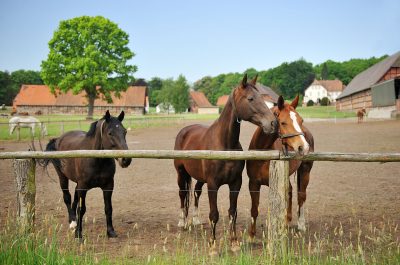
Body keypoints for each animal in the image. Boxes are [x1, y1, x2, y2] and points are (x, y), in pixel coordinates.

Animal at [45, 109, 132, 237]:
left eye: (124, 131)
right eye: (110, 133)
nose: (126, 160)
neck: (97, 159)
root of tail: (58, 139)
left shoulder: (108, 186)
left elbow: (108, 208)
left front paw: (110, 231)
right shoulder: (83, 187)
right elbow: (81, 209)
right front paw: (78, 233)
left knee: (75, 198)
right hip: (63, 177)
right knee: (67, 197)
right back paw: (72, 222)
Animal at [173, 73, 276, 252]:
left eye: (263, 98)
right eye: (250, 98)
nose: (272, 123)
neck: (225, 144)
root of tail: (184, 131)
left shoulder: (235, 183)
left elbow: (232, 212)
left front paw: (234, 243)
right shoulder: (213, 184)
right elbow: (214, 214)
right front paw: (213, 246)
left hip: (199, 178)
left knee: (196, 192)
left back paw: (196, 219)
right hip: (181, 173)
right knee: (182, 194)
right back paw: (183, 222)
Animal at [245, 95, 314, 237]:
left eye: (301, 120)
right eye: (283, 122)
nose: (303, 147)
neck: (263, 153)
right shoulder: (253, 183)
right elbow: (254, 209)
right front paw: (251, 235)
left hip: (305, 170)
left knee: (301, 195)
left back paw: (300, 224)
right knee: (291, 191)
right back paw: (288, 220)